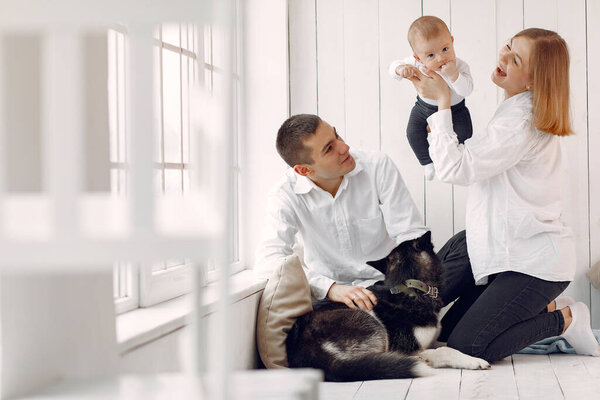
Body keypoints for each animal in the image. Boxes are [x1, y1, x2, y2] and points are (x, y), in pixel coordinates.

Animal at [284, 231, 488, 382]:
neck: (410, 288)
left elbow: (446, 344)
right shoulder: (409, 347)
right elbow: (444, 349)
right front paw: (473, 360)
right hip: (369, 319)